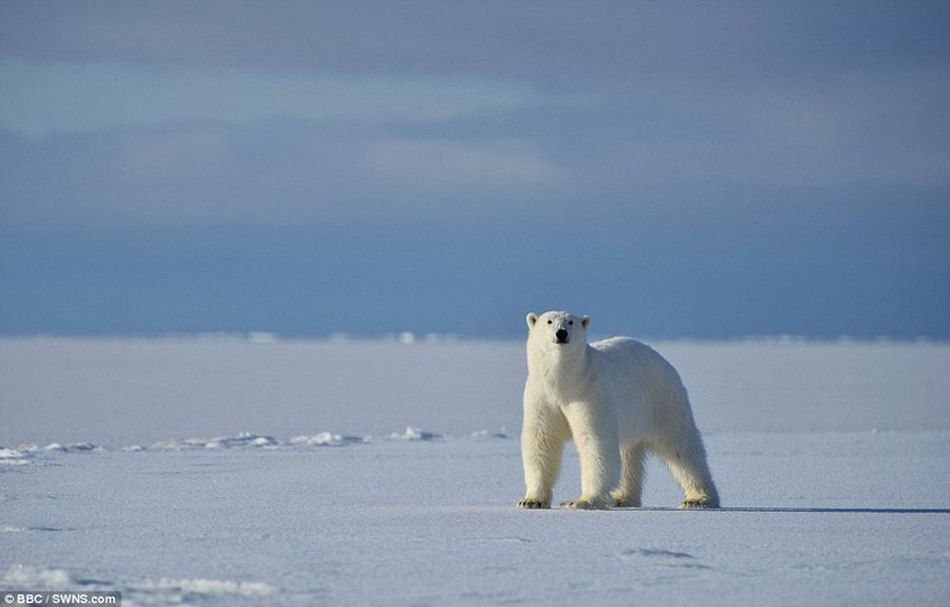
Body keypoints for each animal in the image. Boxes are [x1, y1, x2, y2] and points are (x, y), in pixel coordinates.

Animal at [520, 312, 720, 510]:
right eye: (549, 321)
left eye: (571, 322)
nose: (561, 333)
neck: (564, 384)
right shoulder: (542, 396)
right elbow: (542, 440)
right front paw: (531, 501)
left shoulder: (590, 392)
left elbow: (595, 441)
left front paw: (581, 501)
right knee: (629, 453)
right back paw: (622, 498)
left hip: (662, 399)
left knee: (681, 447)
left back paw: (699, 499)